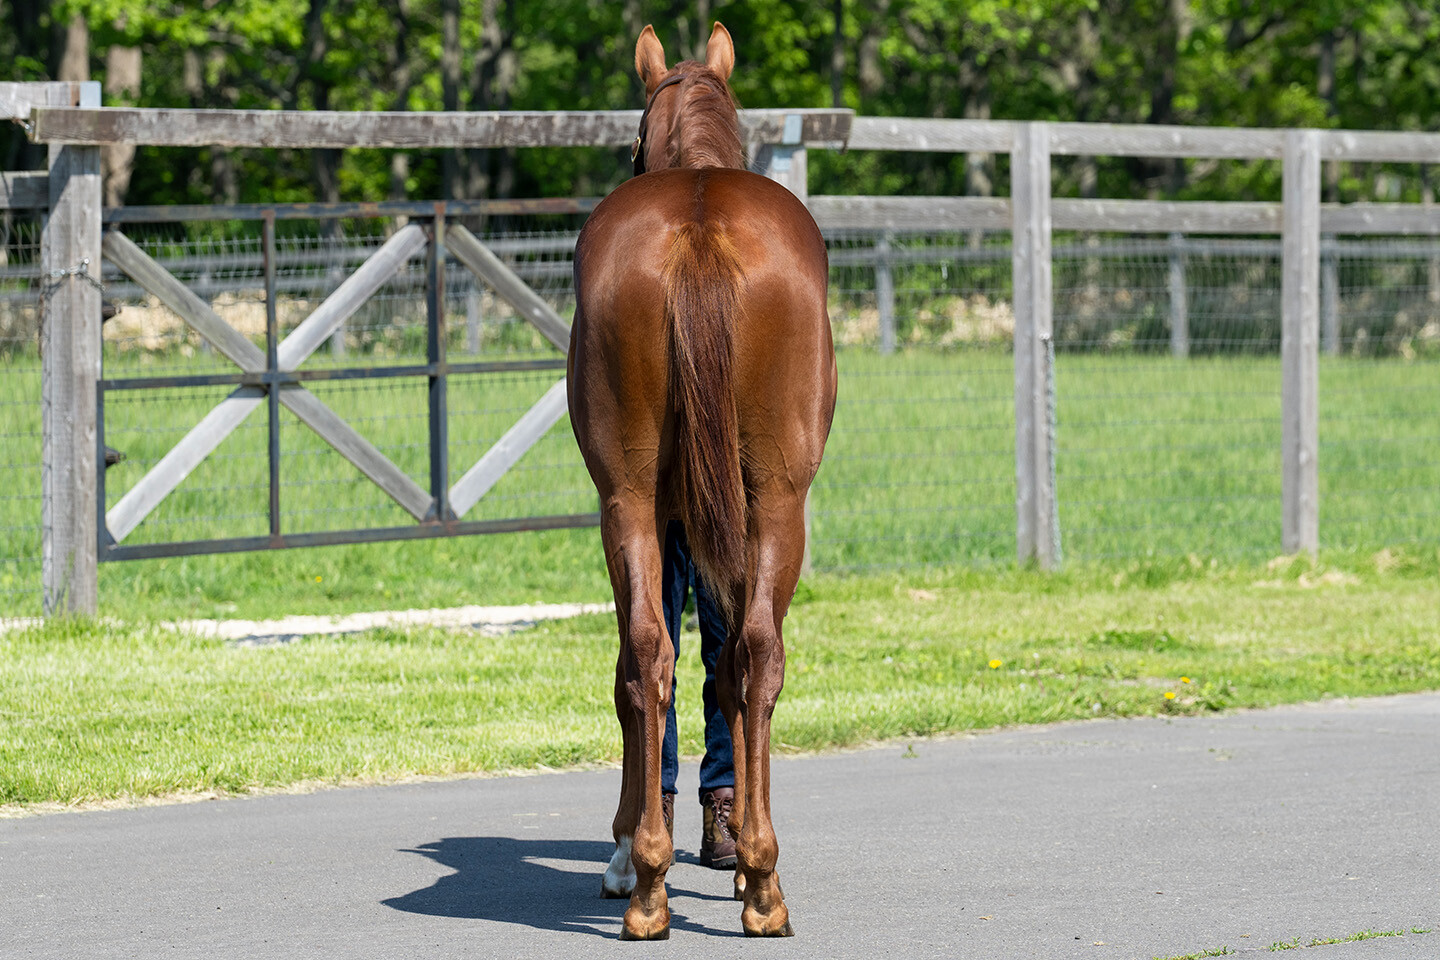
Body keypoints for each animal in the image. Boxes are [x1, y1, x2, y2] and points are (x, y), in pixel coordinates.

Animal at [566, 21, 836, 941]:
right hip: (770, 507)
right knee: (744, 655)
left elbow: (665, 666)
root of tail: (699, 230)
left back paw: (658, 880)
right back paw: (747, 879)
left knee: (662, 655)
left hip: (641, 504)